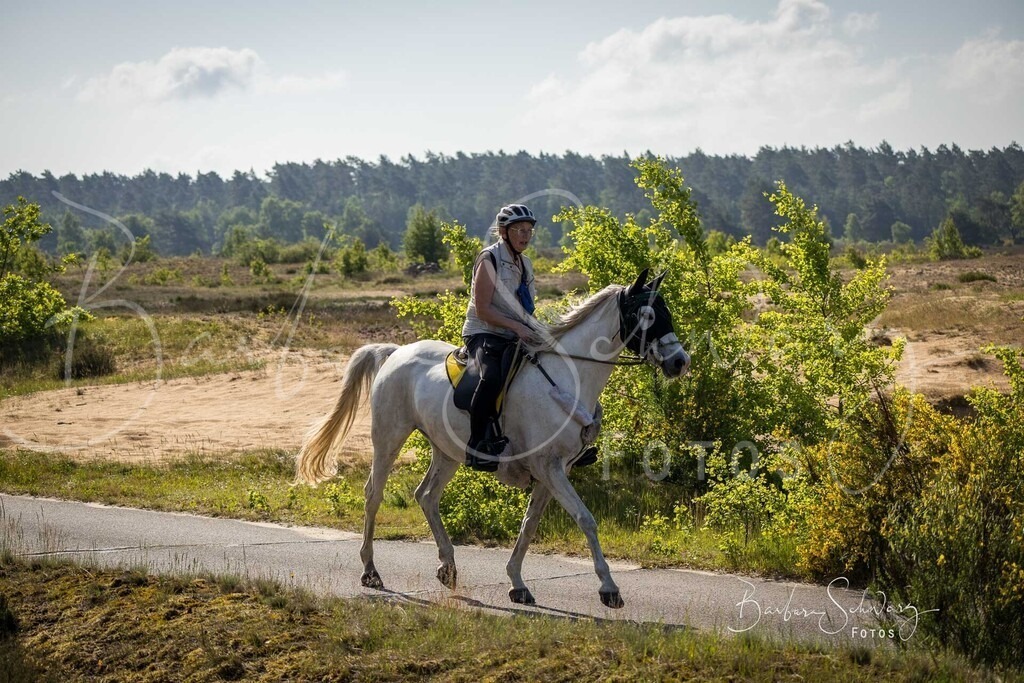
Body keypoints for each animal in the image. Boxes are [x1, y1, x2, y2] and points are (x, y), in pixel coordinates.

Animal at [295, 268, 689, 608]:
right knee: (373, 495)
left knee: (426, 496)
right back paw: (371, 571)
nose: (679, 362)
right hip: (389, 438)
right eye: (648, 315)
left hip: (447, 451)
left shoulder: (553, 472)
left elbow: (529, 526)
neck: (570, 376)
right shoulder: (549, 468)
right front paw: (609, 589)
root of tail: (395, 352)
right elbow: (586, 519)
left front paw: (517, 583)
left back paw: (448, 567)